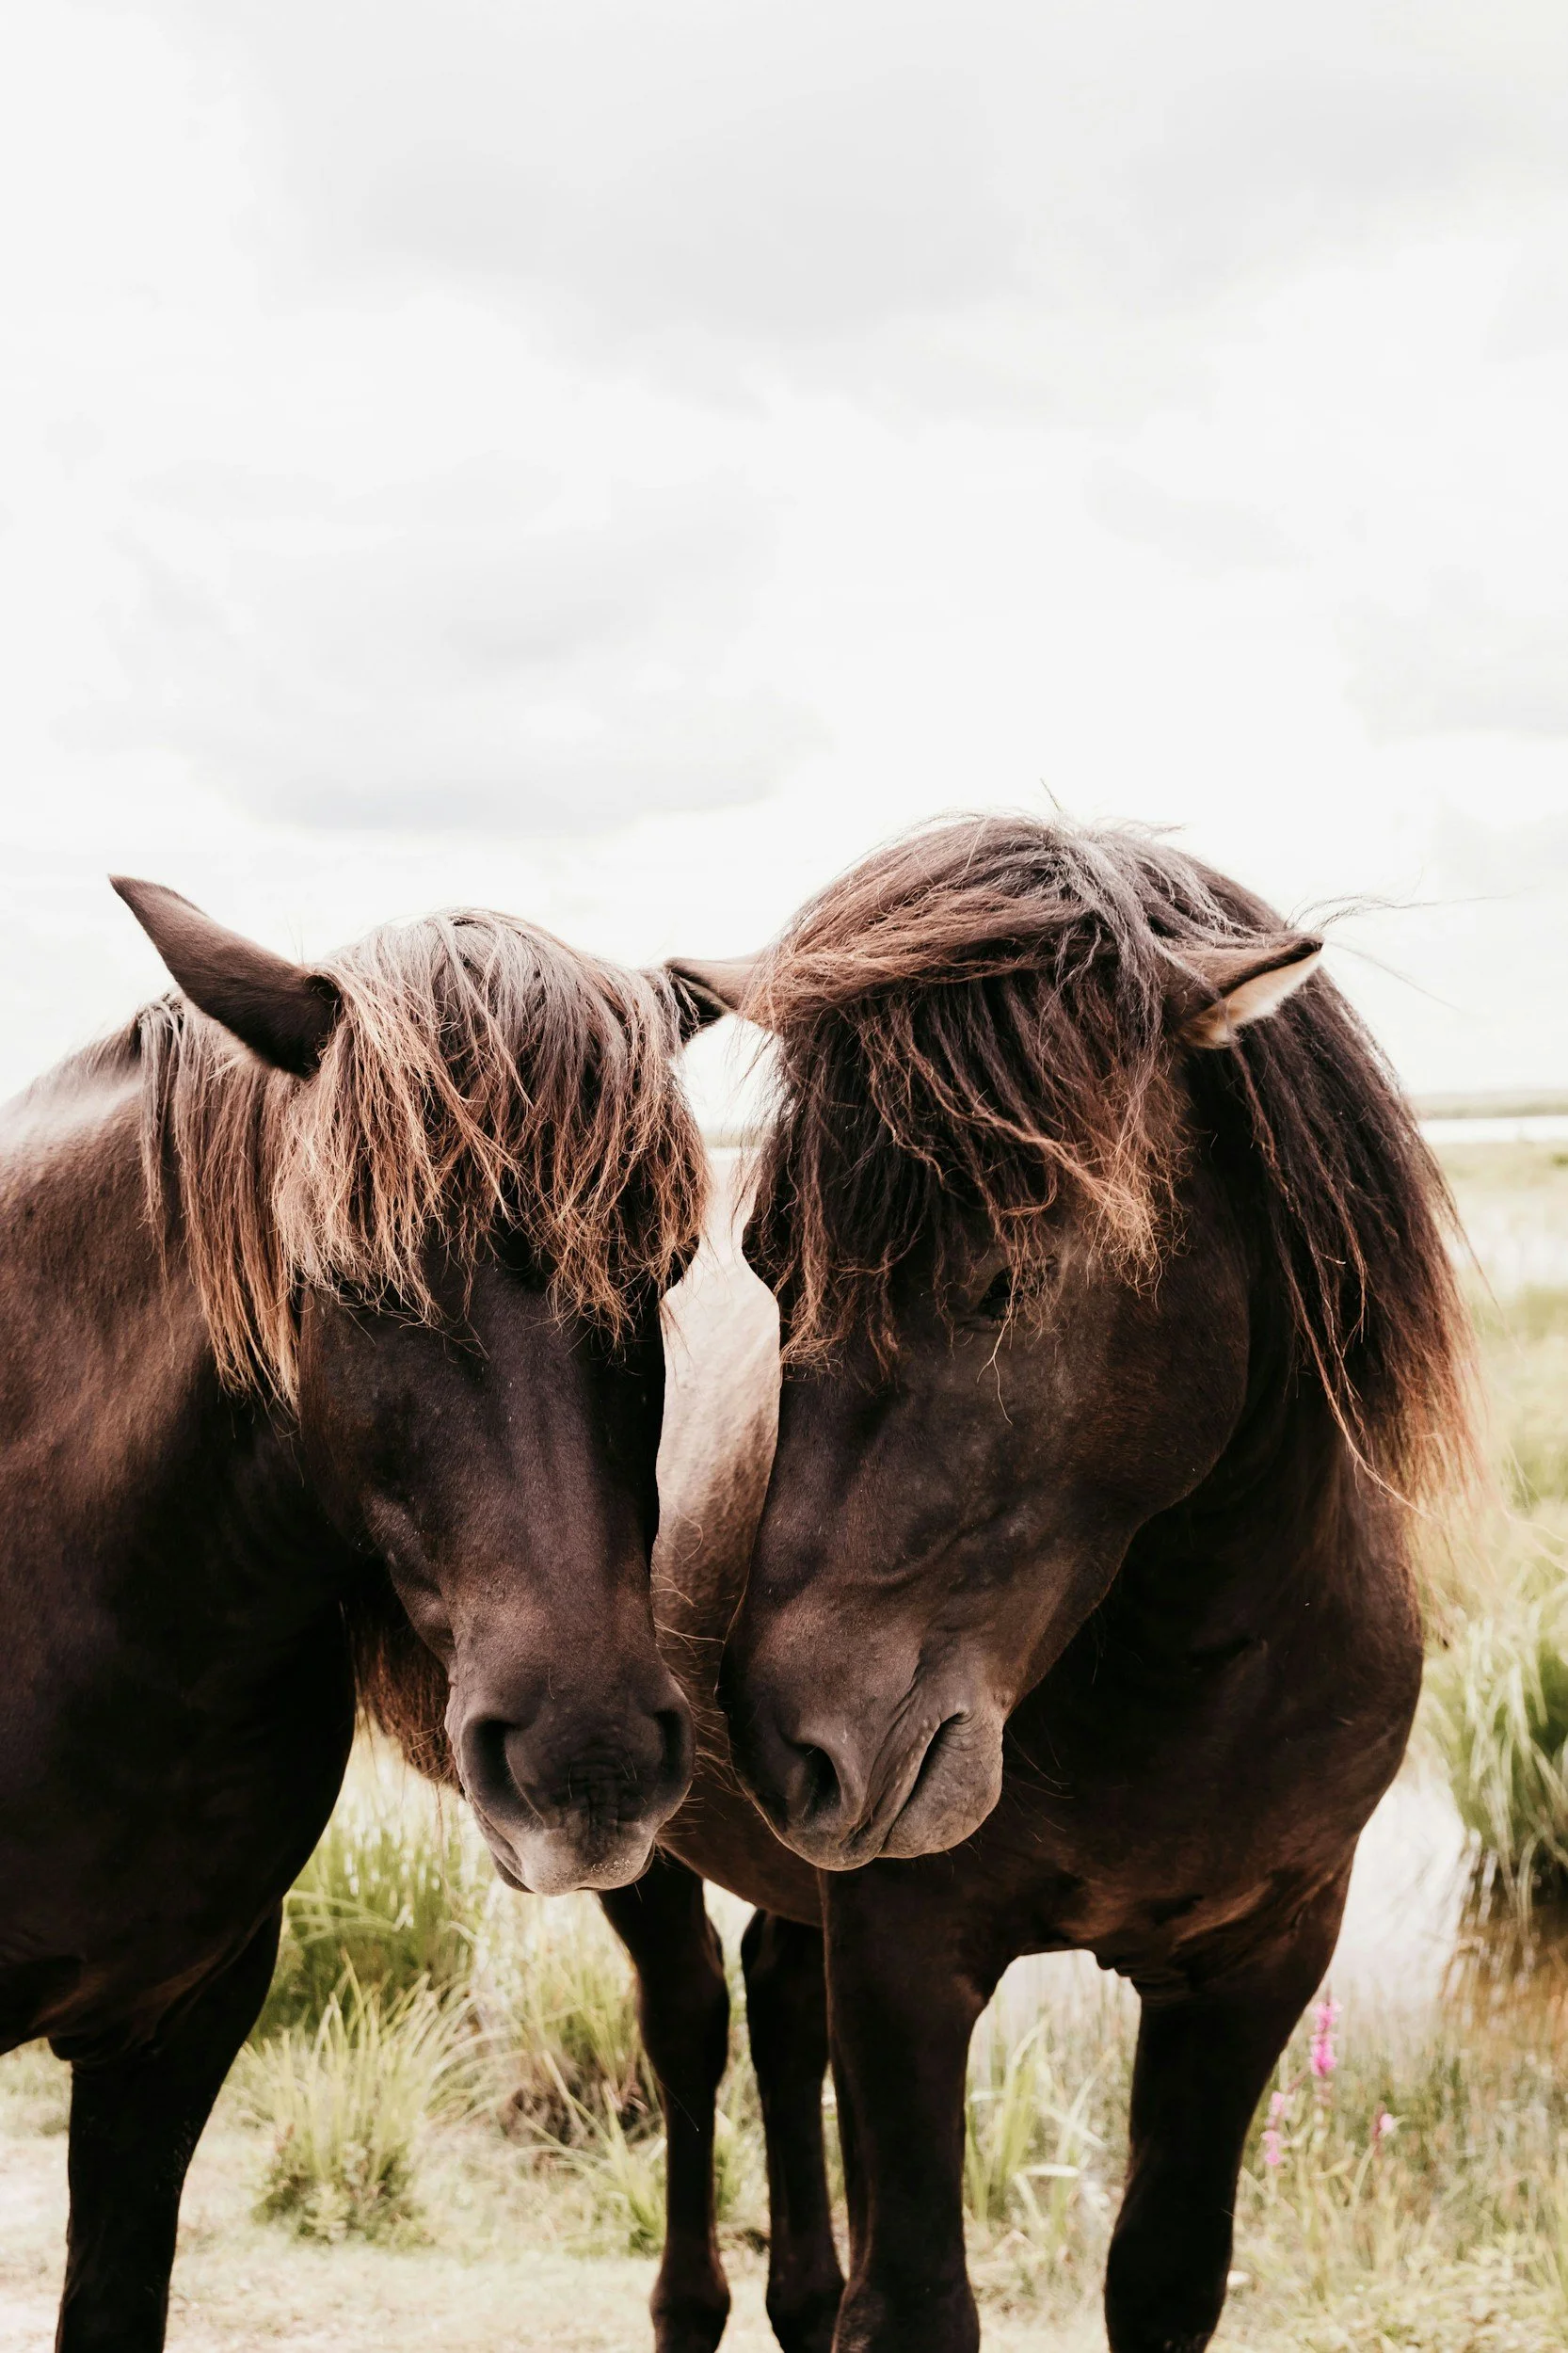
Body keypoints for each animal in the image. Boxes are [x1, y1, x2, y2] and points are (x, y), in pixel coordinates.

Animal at [648, 815, 1473, 2353]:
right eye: (773, 1264)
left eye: (1002, 1279)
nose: (789, 1744)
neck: (1183, 1681)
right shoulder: (908, 1964)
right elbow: (913, 2298)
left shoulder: (1257, 1965)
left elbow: (1161, 2279)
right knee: (685, 2031)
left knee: (777, 2009)